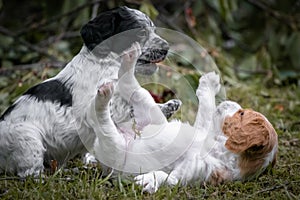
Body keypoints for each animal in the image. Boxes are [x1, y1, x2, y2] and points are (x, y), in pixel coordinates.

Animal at [92, 42, 278, 194]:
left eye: (242, 114)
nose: (230, 101)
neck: (217, 148)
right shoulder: (201, 129)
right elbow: (206, 110)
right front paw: (209, 84)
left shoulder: (187, 176)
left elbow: (167, 178)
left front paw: (149, 180)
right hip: (153, 114)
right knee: (132, 88)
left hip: (116, 149)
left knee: (104, 119)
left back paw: (105, 94)